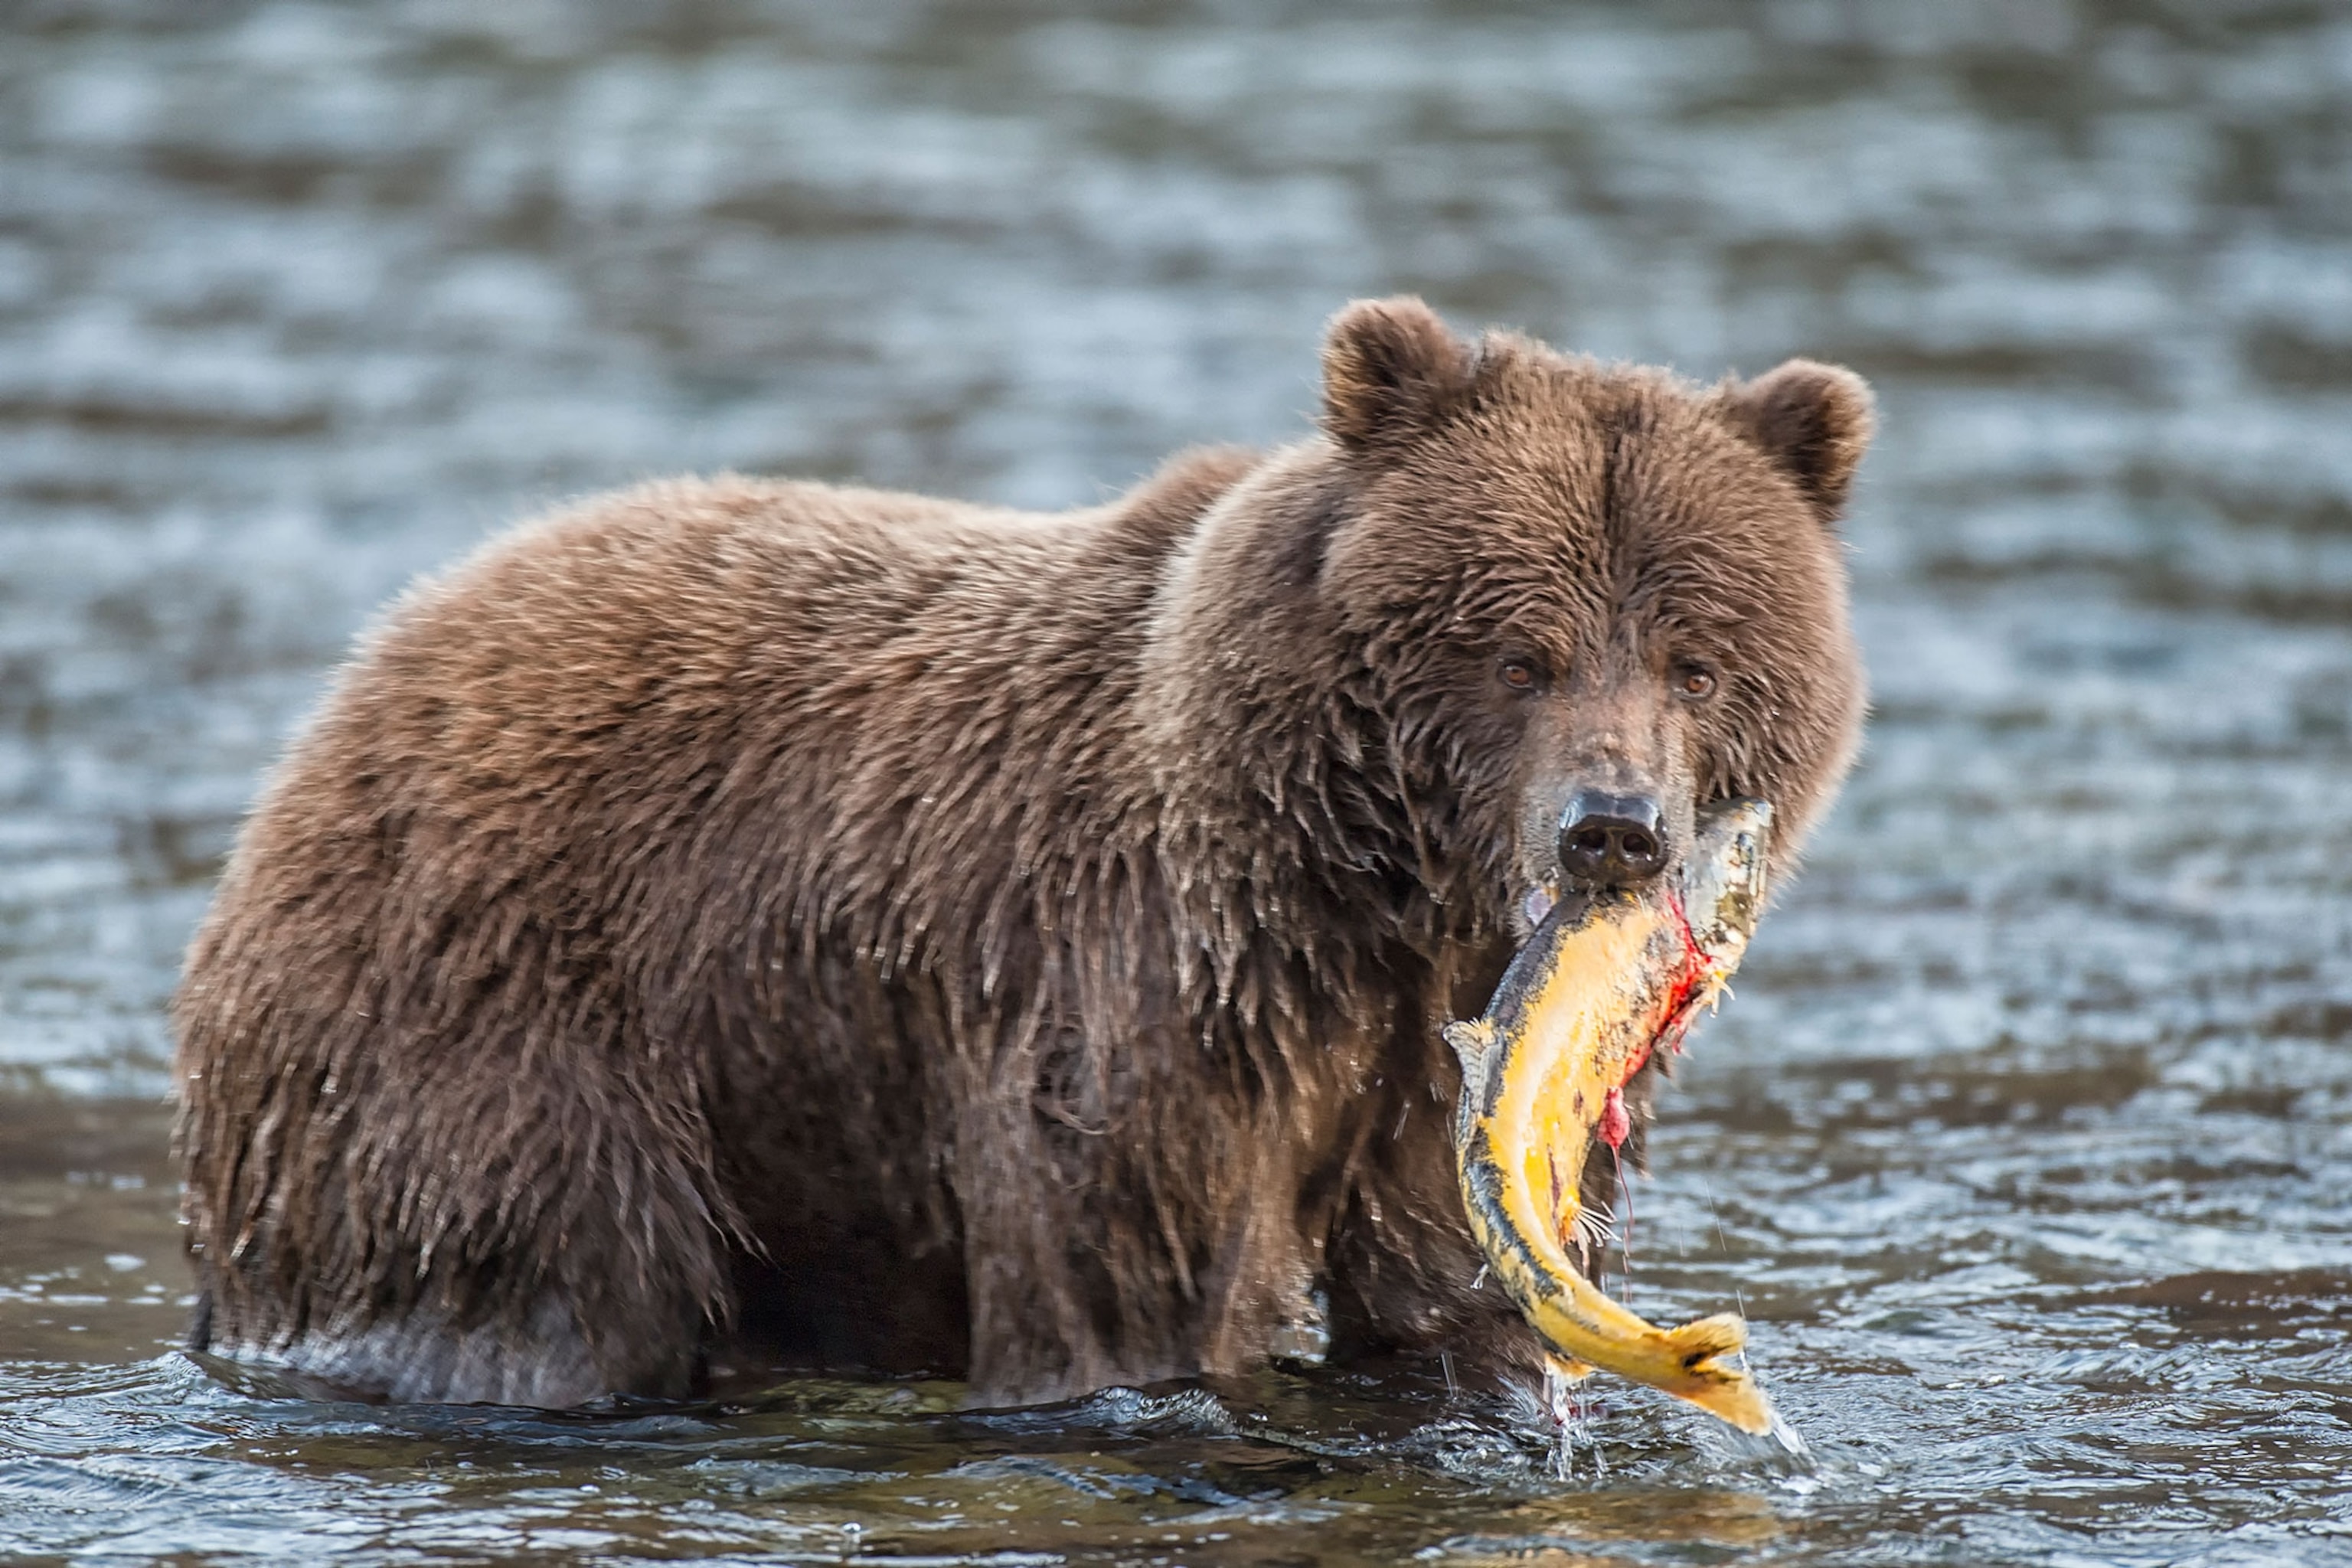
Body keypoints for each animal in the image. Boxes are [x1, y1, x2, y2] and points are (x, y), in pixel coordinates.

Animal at [173, 298, 1871, 1409]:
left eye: (1697, 660)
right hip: (498, 1013)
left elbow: (1455, 1272)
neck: (1348, 903)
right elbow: (1125, 1286)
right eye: (1517, 649)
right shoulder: (1117, 980)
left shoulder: (1417, 1069)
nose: (1613, 828)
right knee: (549, 1266)